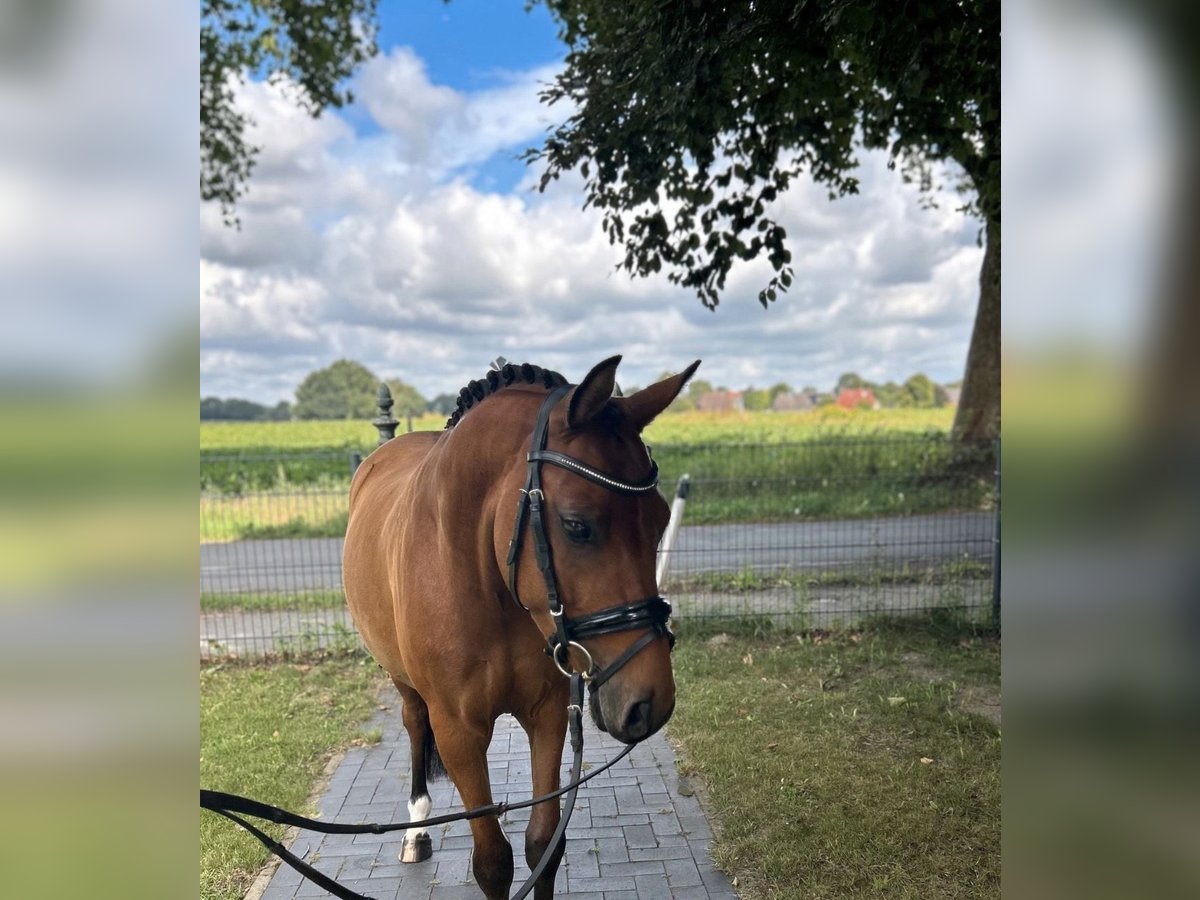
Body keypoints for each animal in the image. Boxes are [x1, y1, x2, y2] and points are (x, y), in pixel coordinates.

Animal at [343, 355, 700, 897]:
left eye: (660, 519)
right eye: (576, 525)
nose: (650, 701)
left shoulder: (548, 714)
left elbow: (543, 846)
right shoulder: (460, 733)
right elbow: (493, 860)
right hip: (401, 680)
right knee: (413, 723)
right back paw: (417, 830)